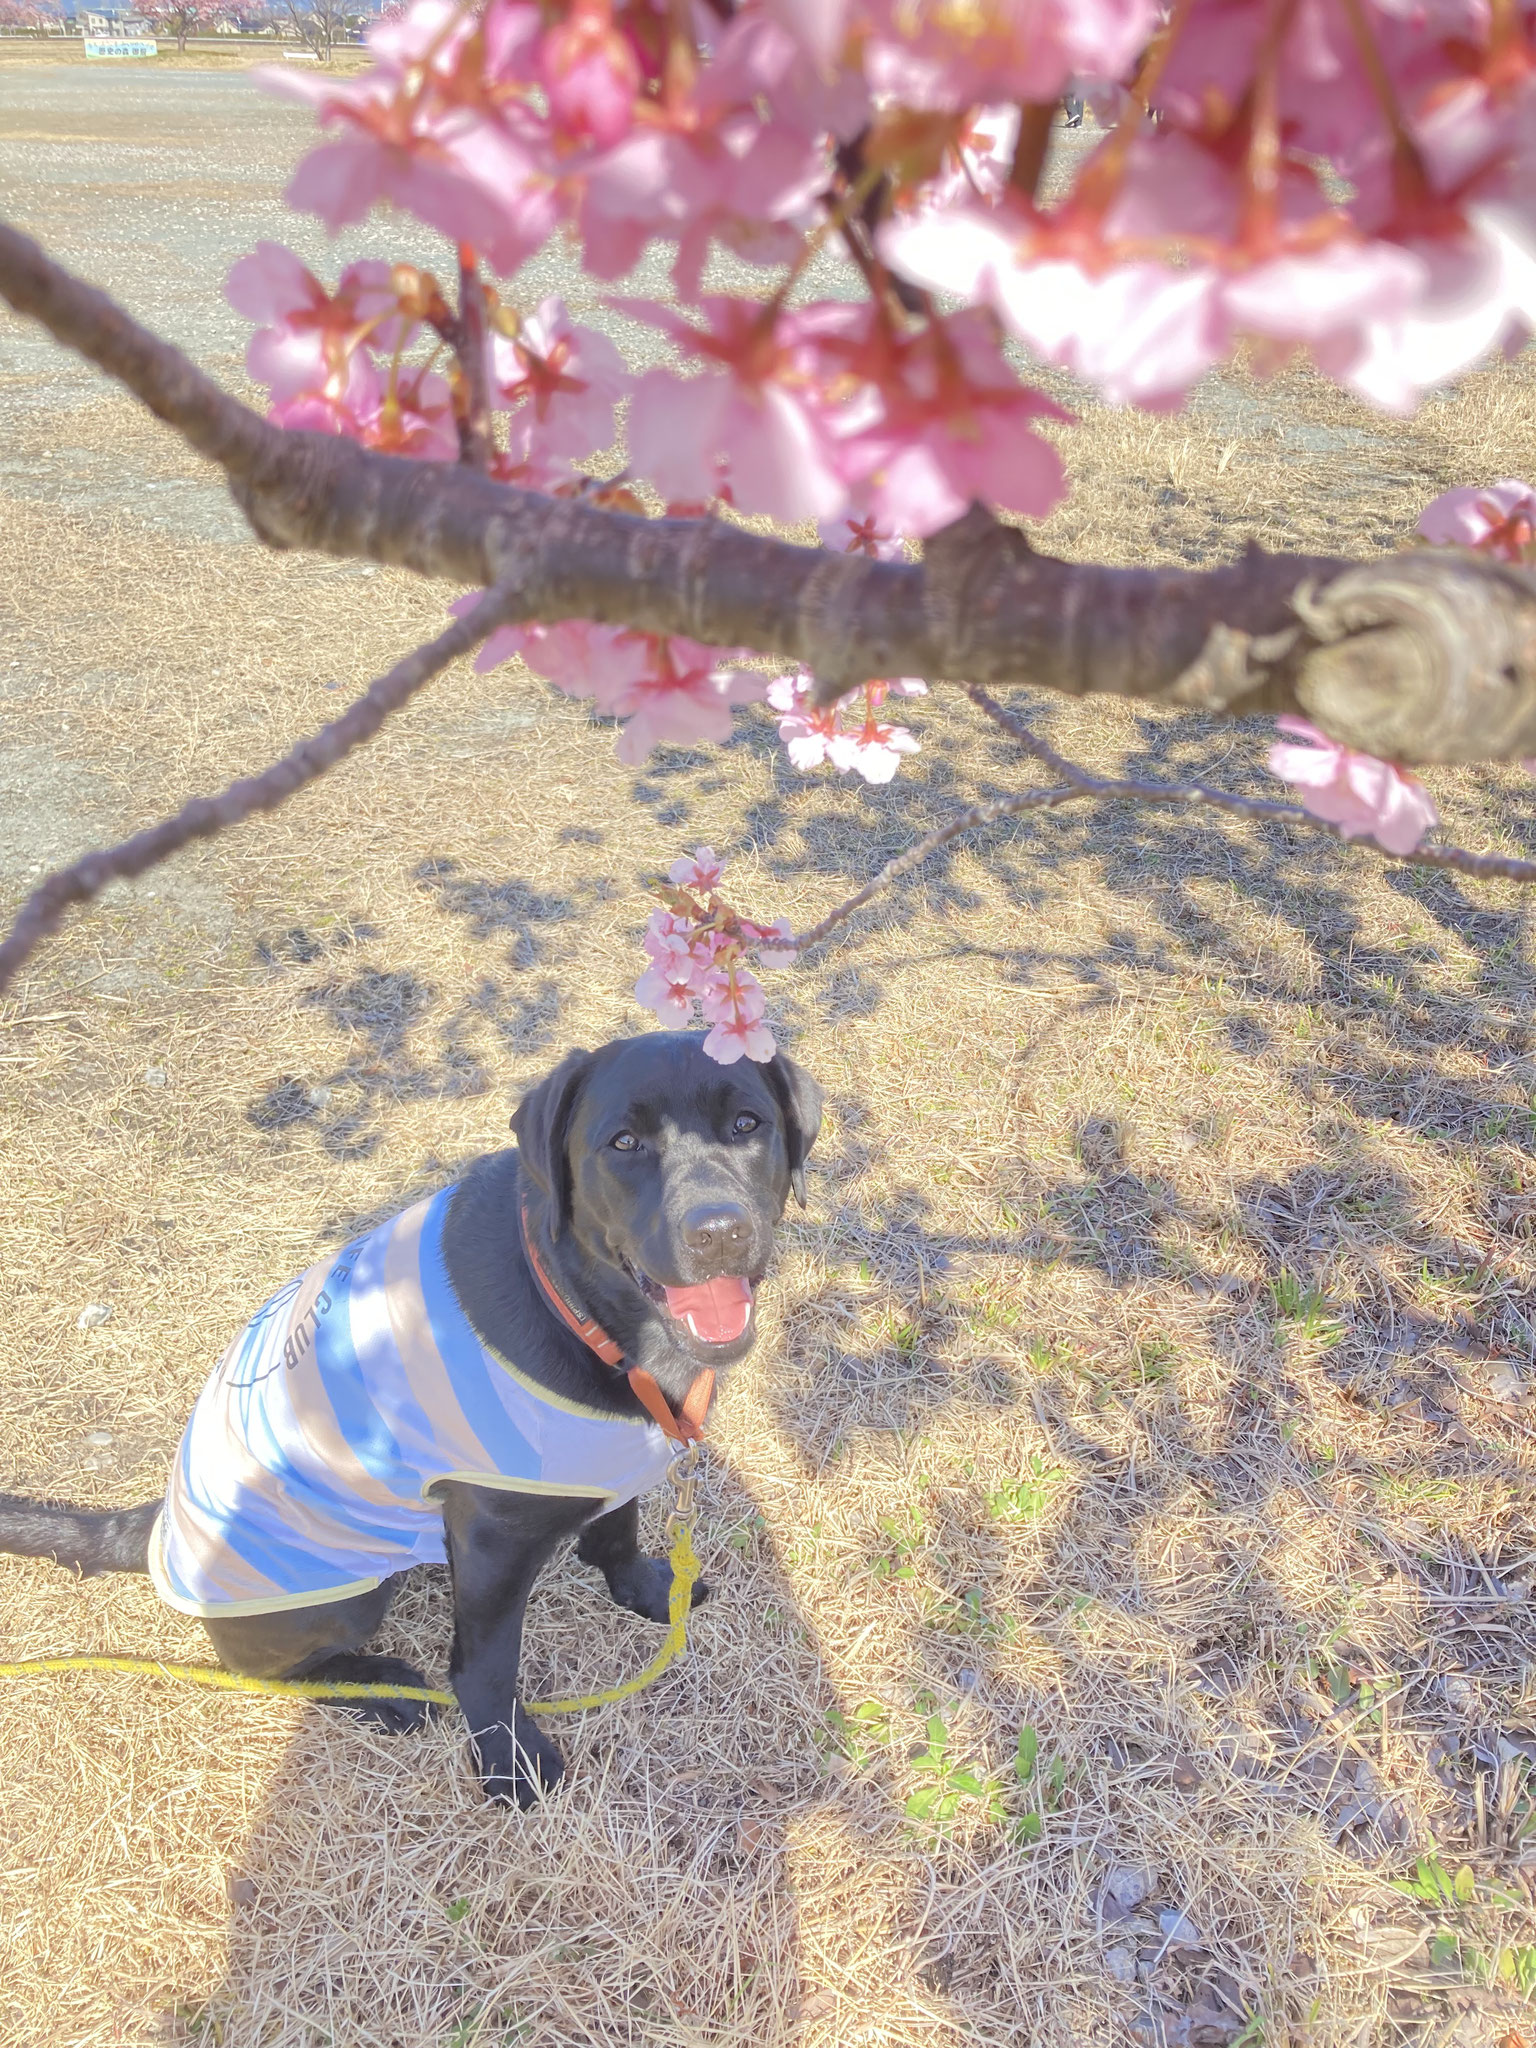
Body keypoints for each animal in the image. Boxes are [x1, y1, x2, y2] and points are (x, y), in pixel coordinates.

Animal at [0, 1032, 823, 1802]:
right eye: (623, 1143)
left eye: (747, 1123)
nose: (719, 1231)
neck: (576, 1306)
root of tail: (157, 1525)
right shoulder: (493, 1543)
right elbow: (486, 1666)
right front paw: (509, 1763)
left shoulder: (613, 1458)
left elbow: (616, 1535)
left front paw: (650, 1592)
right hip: (341, 1597)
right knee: (270, 1673)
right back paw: (381, 1691)